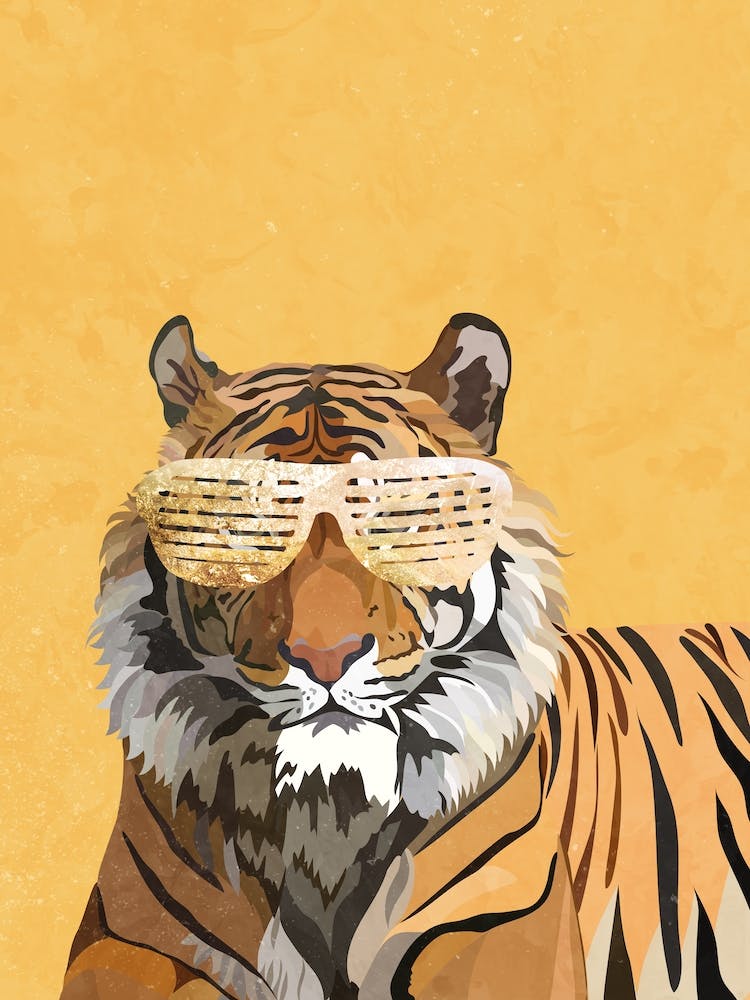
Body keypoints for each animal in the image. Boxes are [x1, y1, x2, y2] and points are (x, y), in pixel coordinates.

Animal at [61, 312, 750, 1000]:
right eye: (256, 523)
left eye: (392, 517)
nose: (325, 658)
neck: (328, 814)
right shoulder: (126, 932)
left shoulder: (496, 921)